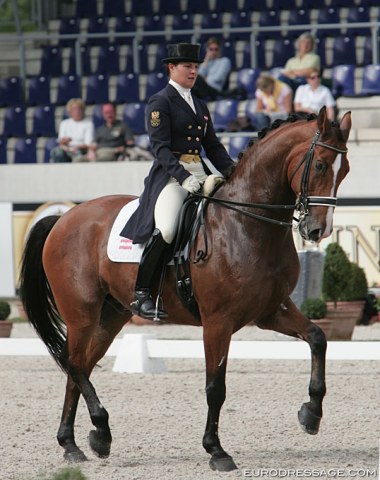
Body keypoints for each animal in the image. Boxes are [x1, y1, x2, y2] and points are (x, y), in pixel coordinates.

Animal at [18, 107, 350, 470]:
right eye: (320, 165)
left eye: (345, 170)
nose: (317, 230)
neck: (247, 225)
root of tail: (63, 218)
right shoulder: (218, 322)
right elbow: (215, 387)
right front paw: (216, 450)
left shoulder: (271, 311)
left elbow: (318, 338)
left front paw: (311, 414)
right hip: (81, 313)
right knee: (74, 363)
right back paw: (101, 432)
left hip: (111, 315)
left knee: (79, 366)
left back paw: (73, 443)